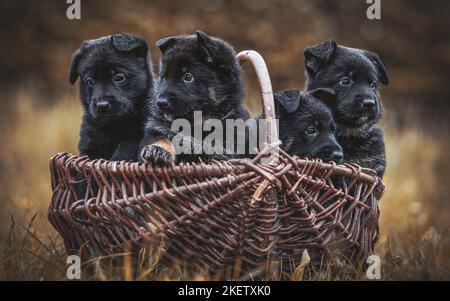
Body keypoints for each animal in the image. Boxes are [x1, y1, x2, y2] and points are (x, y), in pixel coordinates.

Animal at [70, 33, 155, 161]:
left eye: (119, 77)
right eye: (90, 81)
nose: (102, 106)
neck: (113, 126)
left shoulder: (136, 135)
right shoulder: (89, 143)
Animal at [139, 30, 248, 164]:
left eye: (188, 76)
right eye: (164, 77)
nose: (160, 102)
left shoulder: (228, 150)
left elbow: (208, 148)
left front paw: (188, 143)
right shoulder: (157, 129)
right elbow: (161, 138)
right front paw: (158, 149)